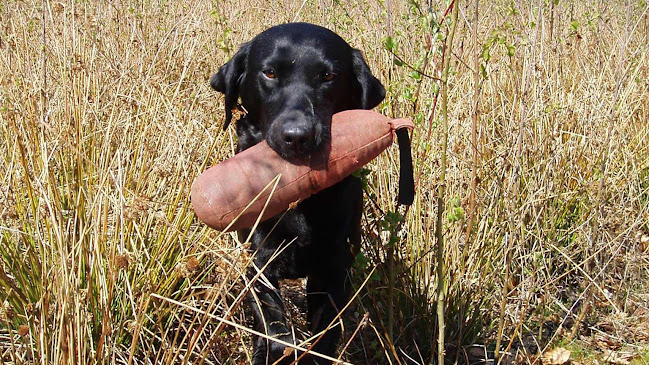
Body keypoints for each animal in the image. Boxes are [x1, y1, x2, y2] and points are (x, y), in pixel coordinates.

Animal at [210, 22, 412, 362]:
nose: (297, 137)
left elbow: (324, 337)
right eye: (270, 73)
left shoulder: (333, 271)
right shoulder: (258, 261)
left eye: (328, 76)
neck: (300, 202)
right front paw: (275, 349)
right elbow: (273, 325)